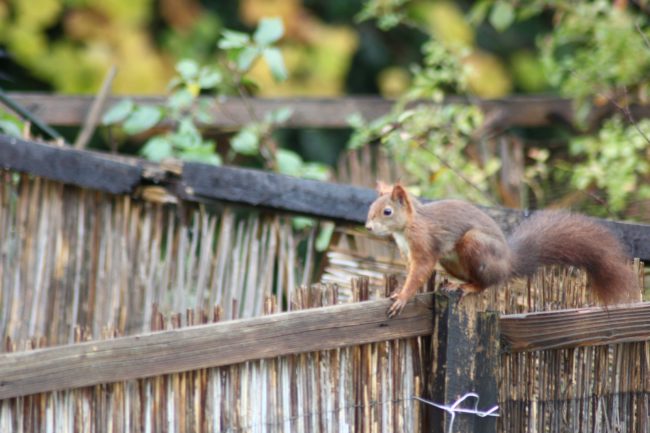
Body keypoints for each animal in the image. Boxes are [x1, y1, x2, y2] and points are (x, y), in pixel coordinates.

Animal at [364, 181, 636, 316]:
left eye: (387, 211)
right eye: (370, 207)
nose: (368, 227)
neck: (406, 227)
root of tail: (508, 262)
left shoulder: (424, 244)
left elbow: (419, 271)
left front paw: (402, 297)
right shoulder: (407, 252)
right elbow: (410, 271)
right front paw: (397, 291)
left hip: (475, 245)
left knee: (488, 283)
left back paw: (470, 287)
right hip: (452, 260)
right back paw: (454, 283)